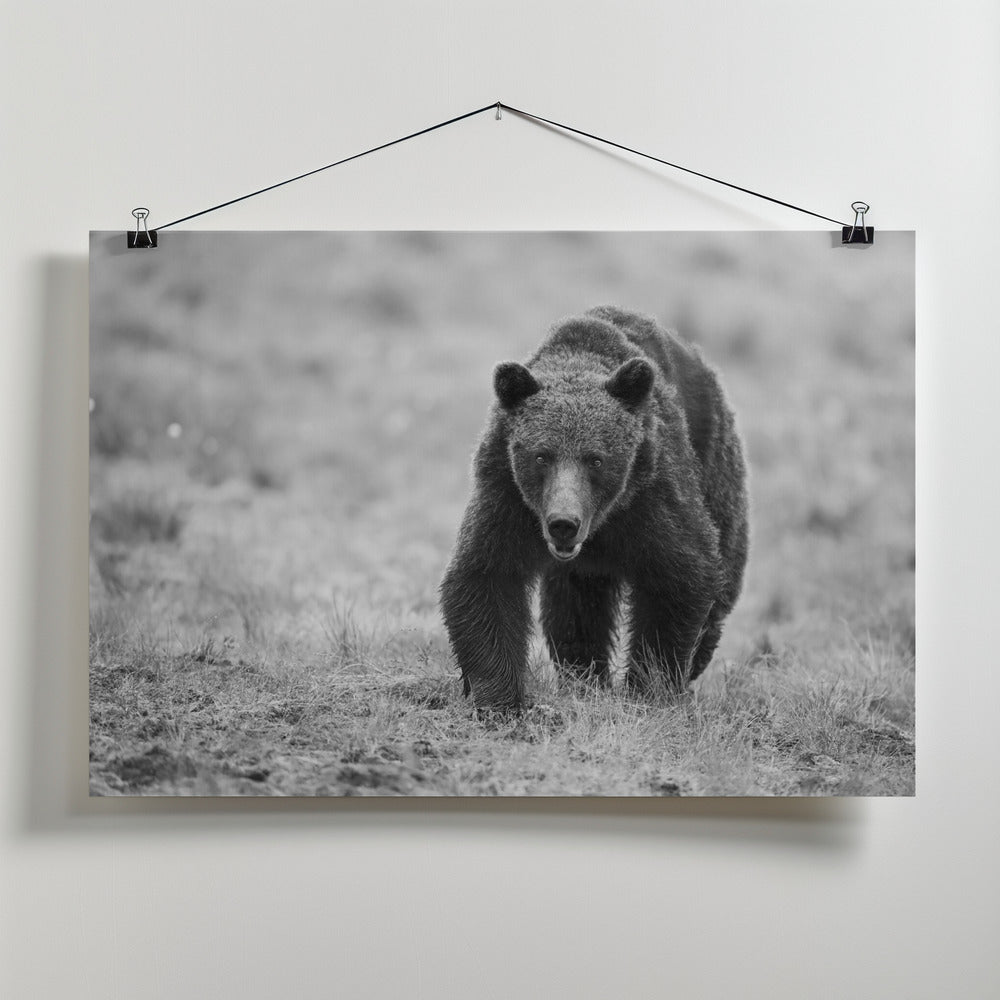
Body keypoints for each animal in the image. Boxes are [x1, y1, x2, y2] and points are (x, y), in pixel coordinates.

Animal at [439, 306, 749, 711]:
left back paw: (692, 662)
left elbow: (680, 573)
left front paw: (650, 686)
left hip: (715, 467)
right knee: (575, 607)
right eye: (542, 455)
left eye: (596, 459)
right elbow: (486, 575)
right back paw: (584, 674)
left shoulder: (651, 491)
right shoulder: (506, 493)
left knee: (723, 569)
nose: (563, 523)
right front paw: (500, 698)